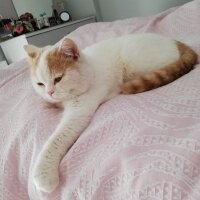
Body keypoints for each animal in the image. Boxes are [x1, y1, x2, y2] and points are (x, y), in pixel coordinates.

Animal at [23, 32, 197, 192]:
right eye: (40, 84)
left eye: (58, 79)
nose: (49, 93)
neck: (90, 70)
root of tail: (174, 41)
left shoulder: (79, 111)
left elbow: (56, 139)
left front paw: (43, 173)